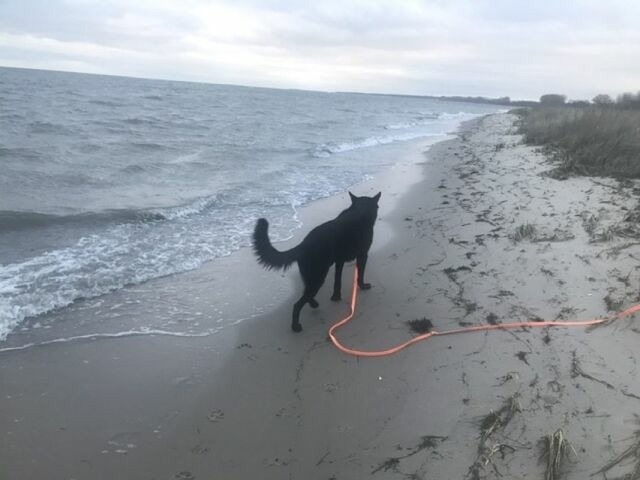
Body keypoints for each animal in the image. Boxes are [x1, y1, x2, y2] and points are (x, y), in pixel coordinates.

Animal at [251, 191, 380, 330]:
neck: (360, 211)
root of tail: (302, 245)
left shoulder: (339, 262)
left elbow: (337, 281)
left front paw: (336, 297)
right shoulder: (363, 255)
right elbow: (360, 275)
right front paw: (363, 286)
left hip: (310, 276)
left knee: (306, 293)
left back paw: (313, 304)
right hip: (318, 277)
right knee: (297, 304)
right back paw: (296, 326)